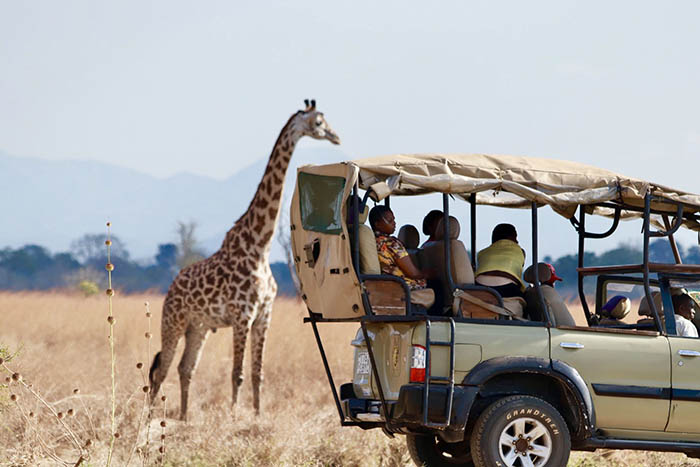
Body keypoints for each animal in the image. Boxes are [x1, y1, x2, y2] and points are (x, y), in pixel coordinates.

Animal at [149, 100, 340, 422]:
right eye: (318, 123)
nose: (336, 137)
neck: (259, 245)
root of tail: (172, 286)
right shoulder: (242, 315)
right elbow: (236, 373)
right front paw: (232, 416)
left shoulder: (264, 315)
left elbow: (257, 374)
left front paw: (257, 416)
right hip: (173, 321)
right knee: (161, 369)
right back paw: (149, 417)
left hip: (198, 327)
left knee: (185, 368)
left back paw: (185, 417)